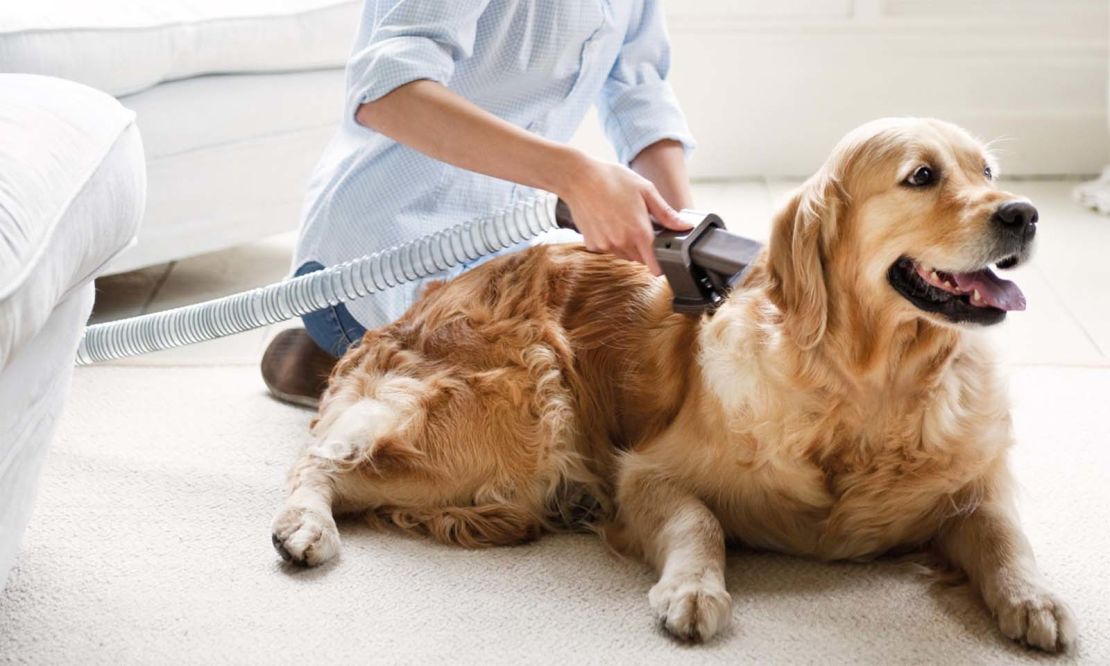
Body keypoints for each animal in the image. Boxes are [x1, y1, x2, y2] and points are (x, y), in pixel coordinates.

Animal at [270, 118, 1074, 648]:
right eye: (921, 176)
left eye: (988, 172)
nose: (1025, 214)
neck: (867, 388)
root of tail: (414, 308)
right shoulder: (649, 472)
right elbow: (700, 521)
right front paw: (693, 589)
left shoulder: (973, 486)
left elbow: (1004, 534)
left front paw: (1036, 599)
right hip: (517, 423)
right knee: (321, 462)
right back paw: (303, 528)